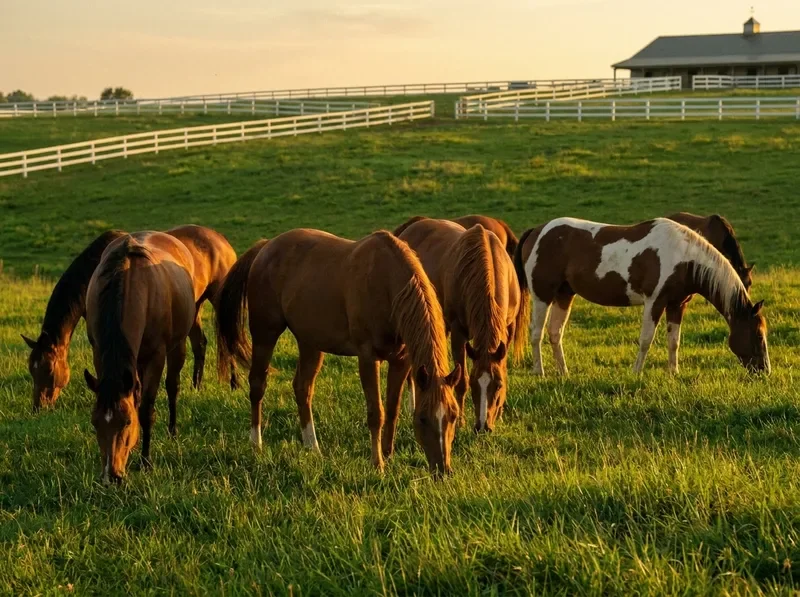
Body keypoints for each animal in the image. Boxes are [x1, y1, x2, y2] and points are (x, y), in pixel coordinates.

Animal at [22, 225, 238, 412]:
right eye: (32, 370)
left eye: (49, 371)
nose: (38, 407)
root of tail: (220, 239)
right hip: (194, 307)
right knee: (199, 343)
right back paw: (195, 387)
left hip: (218, 299)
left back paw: (234, 385)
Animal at [83, 232, 197, 483]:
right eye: (94, 422)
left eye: (126, 422)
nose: (111, 476)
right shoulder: (98, 353)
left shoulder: (156, 356)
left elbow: (145, 411)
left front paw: (146, 461)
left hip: (177, 346)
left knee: (172, 386)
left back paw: (172, 431)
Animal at [215, 229, 462, 475]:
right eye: (423, 418)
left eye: (453, 415)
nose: (443, 470)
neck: (386, 283)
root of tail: (265, 247)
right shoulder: (367, 358)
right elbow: (376, 413)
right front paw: (377, 463)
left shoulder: (401, 360)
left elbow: (392, 409)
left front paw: (388, 455)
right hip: (265, 333)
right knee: (258, 385)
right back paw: (256, 444)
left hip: (310, 342)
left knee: (302, 388)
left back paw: (312, 447)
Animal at [397, 219, 528, 432]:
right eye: (475, 384)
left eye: (498, 385)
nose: (483, 427)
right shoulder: (459, 332)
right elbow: (461, 381)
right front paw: (459, 422)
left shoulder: (507, 330)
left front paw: (500, 415)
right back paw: (413, 407)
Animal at [514, 217, 770, 376]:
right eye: (758, 335)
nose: (764, 371)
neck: (684, 258)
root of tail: (536, 231)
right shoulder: (654, 302)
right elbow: (646, 339)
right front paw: (636, 372)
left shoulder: (676, 305)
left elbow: (674, 341)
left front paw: (673, 372)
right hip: (542, 295)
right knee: (536, 333)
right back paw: (539, 371)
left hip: (564, 294)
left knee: (555, 332)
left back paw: (563, 372)